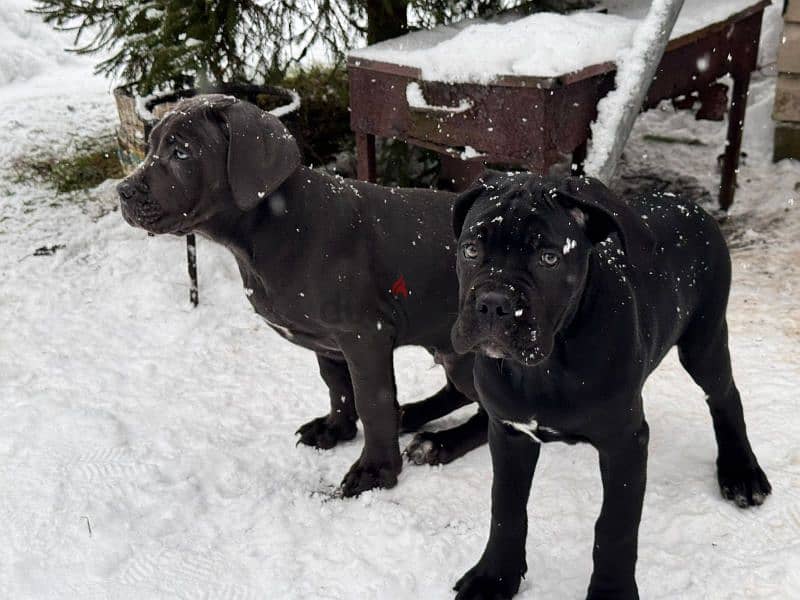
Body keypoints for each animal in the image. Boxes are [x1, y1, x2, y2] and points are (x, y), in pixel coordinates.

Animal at [115, 95, 488, 496]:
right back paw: (411, 414)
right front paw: (335, 429)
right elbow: (338, 386)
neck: (272, 228)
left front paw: (375, 471)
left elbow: (372, 402)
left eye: (181, 153)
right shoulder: (328, 340)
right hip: (447, 348)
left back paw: (440, 443)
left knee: (490, 415)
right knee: (458, 393)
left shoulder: (364, 335)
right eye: (150, 147)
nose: (122, 191)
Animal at [450, 171, 768, 596]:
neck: (547, 367)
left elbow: (614, 526)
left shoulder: (624, 443)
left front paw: (610, 591)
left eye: (549, 258)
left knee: (725, 395)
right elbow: (506, 507)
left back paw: (741, 471)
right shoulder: (509, 431)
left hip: (704, 340)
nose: (493, 304)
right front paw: (495, 575)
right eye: (470, 249)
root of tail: (687, 202)